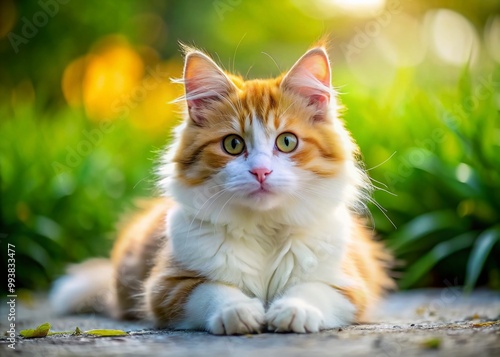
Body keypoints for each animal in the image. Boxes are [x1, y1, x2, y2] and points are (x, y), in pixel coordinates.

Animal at [50, 44, 394, 334]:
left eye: (287, 141)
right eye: (233, 144)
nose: (261, 171)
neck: (263, 229)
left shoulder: (350, 285)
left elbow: (312, 289)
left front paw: (293, 311)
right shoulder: (167, 287)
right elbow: (213, 291)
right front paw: (238, 311)